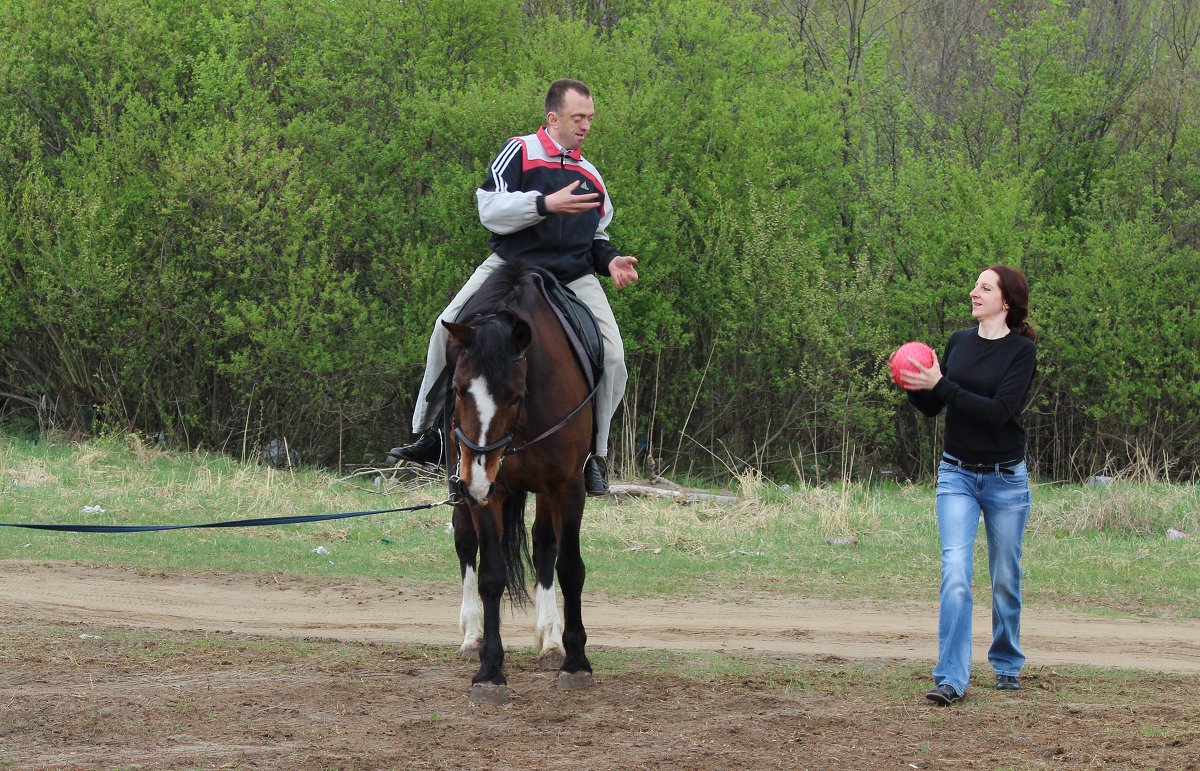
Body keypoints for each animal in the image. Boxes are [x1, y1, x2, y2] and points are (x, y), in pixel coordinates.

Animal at [444, 259, 597, 701]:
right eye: (457, 389)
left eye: (514, 395)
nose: (476, 479)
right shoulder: (487, 493)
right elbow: (491, 575)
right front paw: (489, 669)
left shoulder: (568, 486)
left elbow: (569, 568)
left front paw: (575, 662)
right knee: (466, 542)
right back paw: (472, 636)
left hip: (545, 491)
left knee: (544, 546)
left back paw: (551, 641)